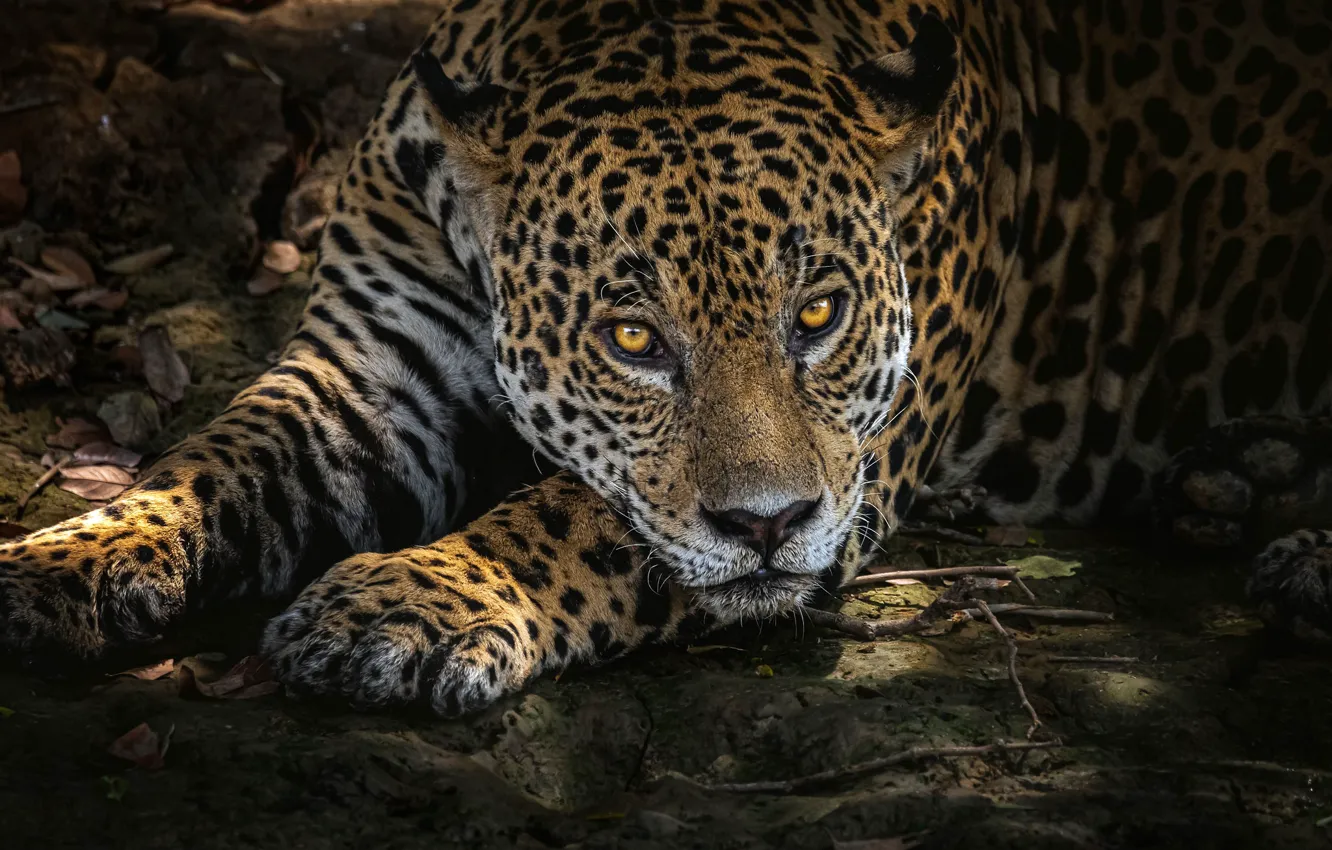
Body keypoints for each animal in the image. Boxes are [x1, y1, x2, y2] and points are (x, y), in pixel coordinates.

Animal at [2, 0, 1331, 717]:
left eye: (819, 315)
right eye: (633, 340)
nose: (770, 524)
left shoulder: (862, 460)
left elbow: (576, 516)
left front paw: (405, 602)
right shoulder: (372, 373)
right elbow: (208, 461)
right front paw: (56, 563)